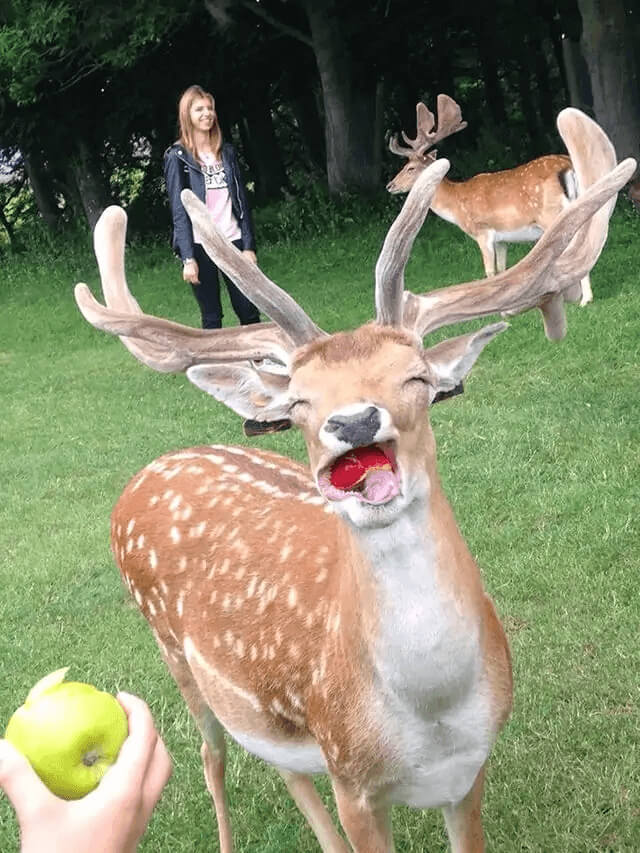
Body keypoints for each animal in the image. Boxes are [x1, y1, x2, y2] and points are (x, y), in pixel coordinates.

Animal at [387, 94, 595, 307]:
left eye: (411, 168)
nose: (390, 185)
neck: (456, 204)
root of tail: (567, 166)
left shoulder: (483, 231)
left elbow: (490, 271)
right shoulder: (502, 238)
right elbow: (503, 270)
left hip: (551, 215)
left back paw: (585, 299)